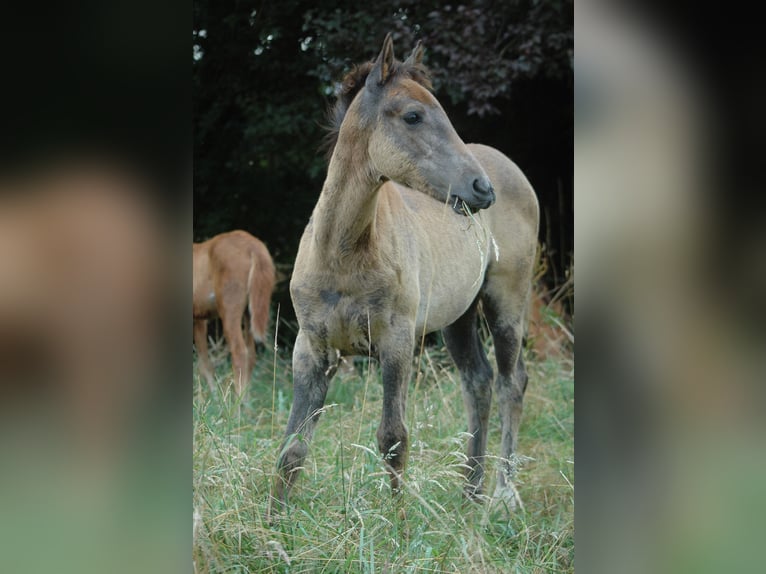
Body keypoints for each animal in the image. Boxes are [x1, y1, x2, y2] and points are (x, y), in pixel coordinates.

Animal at [193, 230, 276, 396]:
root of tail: (255, 247)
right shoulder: (199, 317)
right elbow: (204, 362)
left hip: (229, 306)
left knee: (239, 351)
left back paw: (238, 400)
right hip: (249, 312)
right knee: (251, 353)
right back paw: (246, 398)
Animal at [269, 34, 539, 516]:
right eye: (413, 115)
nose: (482, 189)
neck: (342, 253)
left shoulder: (396, 341)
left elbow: (393, 439)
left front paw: (397, 521)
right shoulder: (311, 348)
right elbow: (292, 447)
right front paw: (272, 523)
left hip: (507, 300)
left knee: (512, 383)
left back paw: (504, 495)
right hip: (459, 316)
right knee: (479, 381)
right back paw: (470, 492)